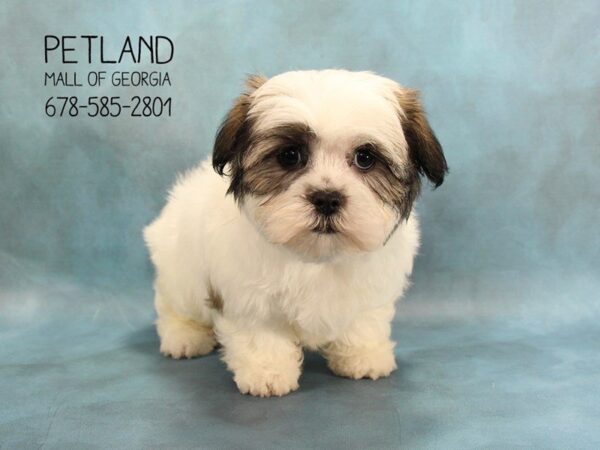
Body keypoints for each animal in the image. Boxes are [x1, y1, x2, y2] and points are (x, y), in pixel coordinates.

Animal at [144, 69, 446, 398]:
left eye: (365, 158)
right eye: (289, 156)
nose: (327, 198)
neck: (315, 255)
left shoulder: (371, 287)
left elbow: (364, 319)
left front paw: (362, 356)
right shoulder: (247, 295)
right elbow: (260, 332)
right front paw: (267, 371)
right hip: (180, 269)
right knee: (173, 303)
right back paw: (184, 336)